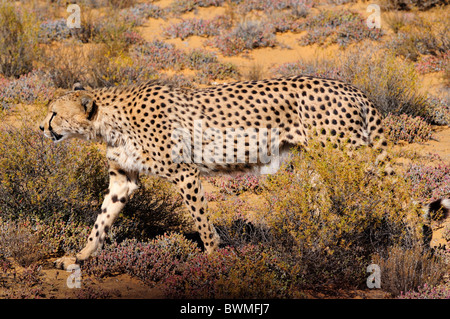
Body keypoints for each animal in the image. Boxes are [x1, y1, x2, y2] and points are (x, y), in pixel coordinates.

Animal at [40, 76, 448, 268]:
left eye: (55, 113)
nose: (42, 128)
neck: (108, 120)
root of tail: (349, 86)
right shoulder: (123, 179)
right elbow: (101, 220)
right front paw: (79, 256)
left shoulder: (185, 173)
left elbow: (202, 221)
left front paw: (211, 258)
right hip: (317, 165)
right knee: (325, 205)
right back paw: (316, 245)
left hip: (347, 157)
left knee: (396, 194)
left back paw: (417, 241)